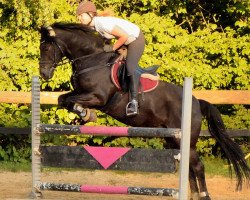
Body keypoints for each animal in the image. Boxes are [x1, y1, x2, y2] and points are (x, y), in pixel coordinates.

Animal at [38, 22, 249, 199]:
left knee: (197, 166)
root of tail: (196, 102)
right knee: (189, 166)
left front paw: (85, 113)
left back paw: (204, 195)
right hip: (173, 138)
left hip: (186, 140)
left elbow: (72, 100)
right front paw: (86, 114)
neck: (92, 60)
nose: (44, 74)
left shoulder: (98, 97)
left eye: (46, 48)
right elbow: (63, 99)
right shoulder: (81, 93)